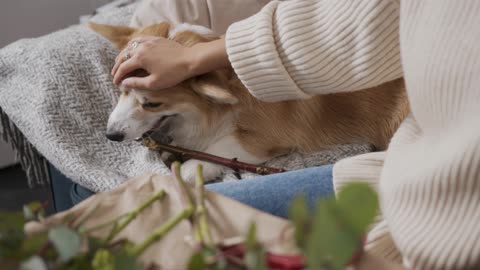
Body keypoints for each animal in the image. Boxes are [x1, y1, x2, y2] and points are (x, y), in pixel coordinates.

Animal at [89, 22, 408, 182]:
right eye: (120, 90)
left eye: (152, 104)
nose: (111, 136)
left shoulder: (263, 139)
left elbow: (217, 150)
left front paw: (192, 168)